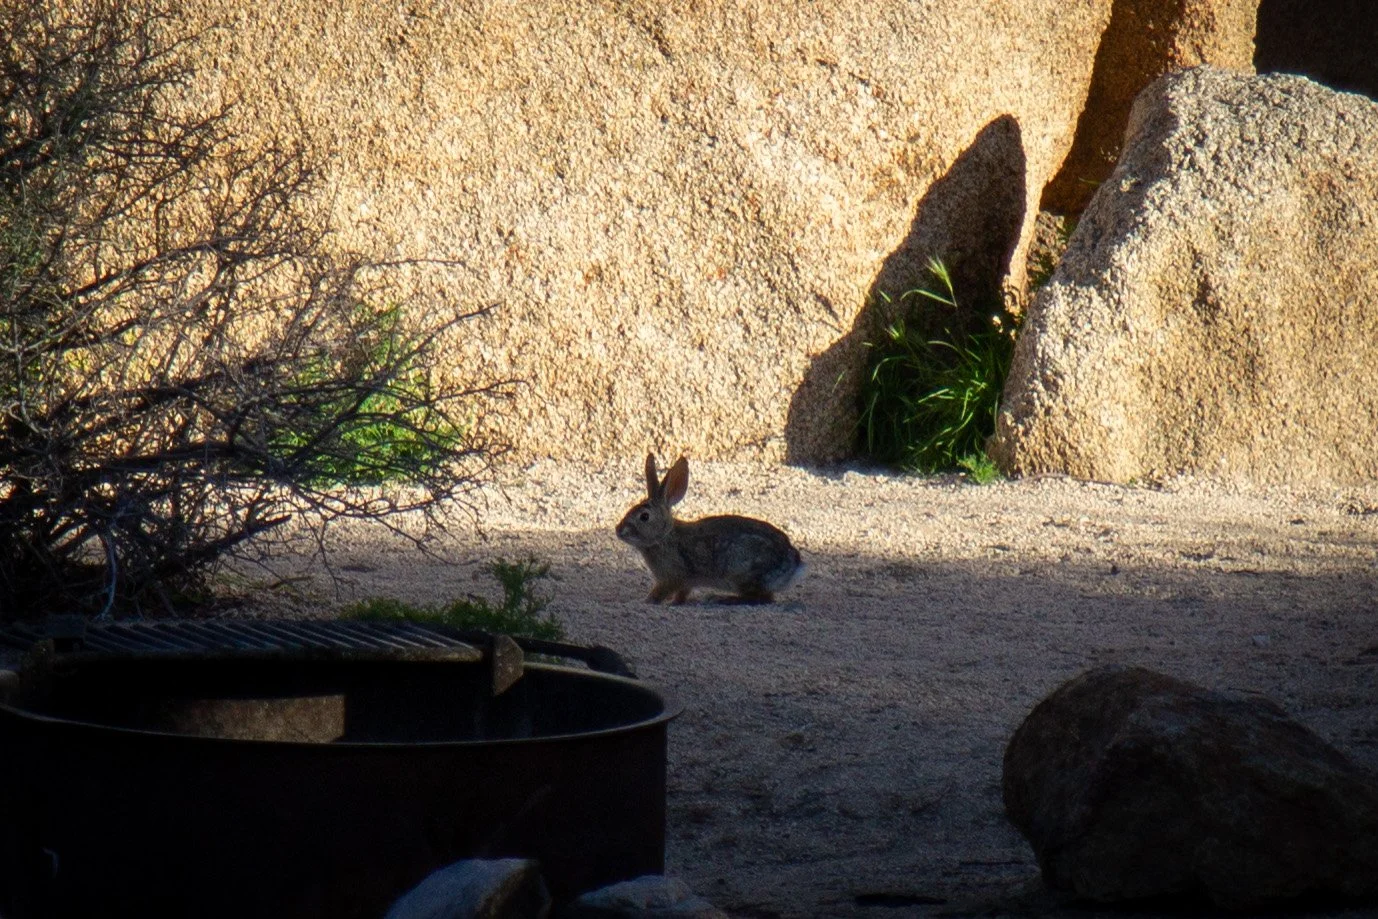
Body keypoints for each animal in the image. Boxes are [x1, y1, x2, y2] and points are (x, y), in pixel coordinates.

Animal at [615, 453, 806, 604]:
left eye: (644, 517)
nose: (618, 530)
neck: (664, 536)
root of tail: (793, 562)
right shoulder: (684, 583)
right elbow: (682, 594)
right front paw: (675, 602)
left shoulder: (671, 578)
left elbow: (659, 594)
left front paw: (643, 601)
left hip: (741, 572)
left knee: (761, 598)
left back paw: (720, 598)